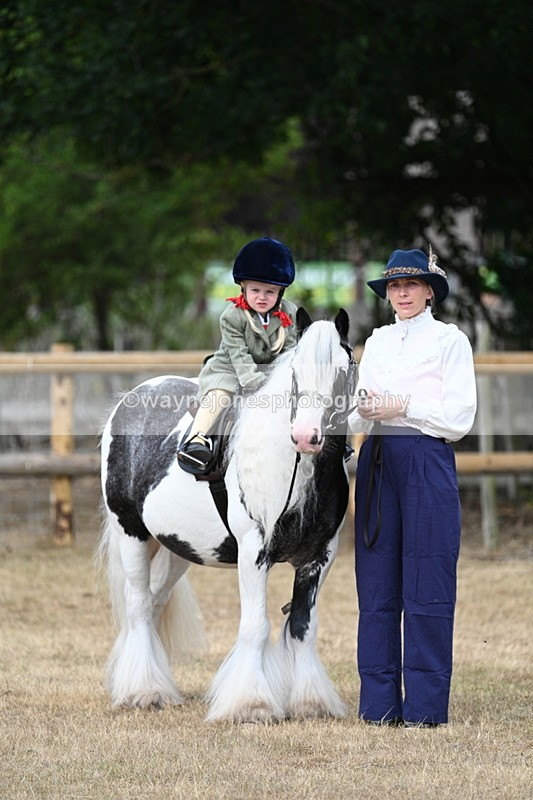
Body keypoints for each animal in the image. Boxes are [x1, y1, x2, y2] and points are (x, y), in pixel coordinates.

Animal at [99, 307, 356, 723]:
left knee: (154, 604)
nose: (305, 435)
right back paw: (144, 690)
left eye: (342, 369)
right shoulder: (253, 553)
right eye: (295, 370)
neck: (291, 466)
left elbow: (303, 625)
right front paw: (251, 704)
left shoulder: (320, 558)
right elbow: (255, 626)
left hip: (178, 549)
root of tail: (136, 397)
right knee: (137, 606)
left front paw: (311, 702)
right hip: (131, 532)